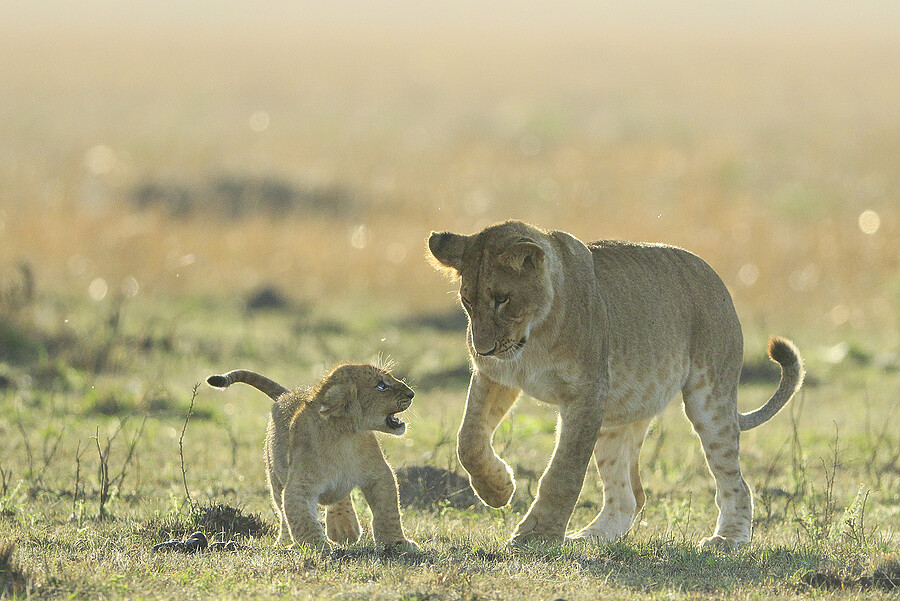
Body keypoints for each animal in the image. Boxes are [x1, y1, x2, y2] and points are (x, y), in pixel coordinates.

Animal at [206, 364, 418, 552]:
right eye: (381, 385)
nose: (411, 394)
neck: (344, 435)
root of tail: (287, 394)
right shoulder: (298, 484)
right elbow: (300, 517)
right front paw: (315, 545)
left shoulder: (379, 474)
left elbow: (388, 512)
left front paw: (397, 542)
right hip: (274, 476)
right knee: (283, 511)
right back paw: (287, 541)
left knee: (339, 494)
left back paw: (344, 528)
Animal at [427, 220, 804, 551]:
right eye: (467, 301)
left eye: (502, 298)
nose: (481, 349)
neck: (534, 337)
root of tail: (716, 278)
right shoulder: (494, 377)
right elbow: (468, 441)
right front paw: (499, 490)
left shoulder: (586, 393)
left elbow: (563, 472)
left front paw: (536, 536)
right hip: (616, 417)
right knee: (629, 496)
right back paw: (588, 537)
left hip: (709, 401)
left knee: (736, 483)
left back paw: (728, 539)